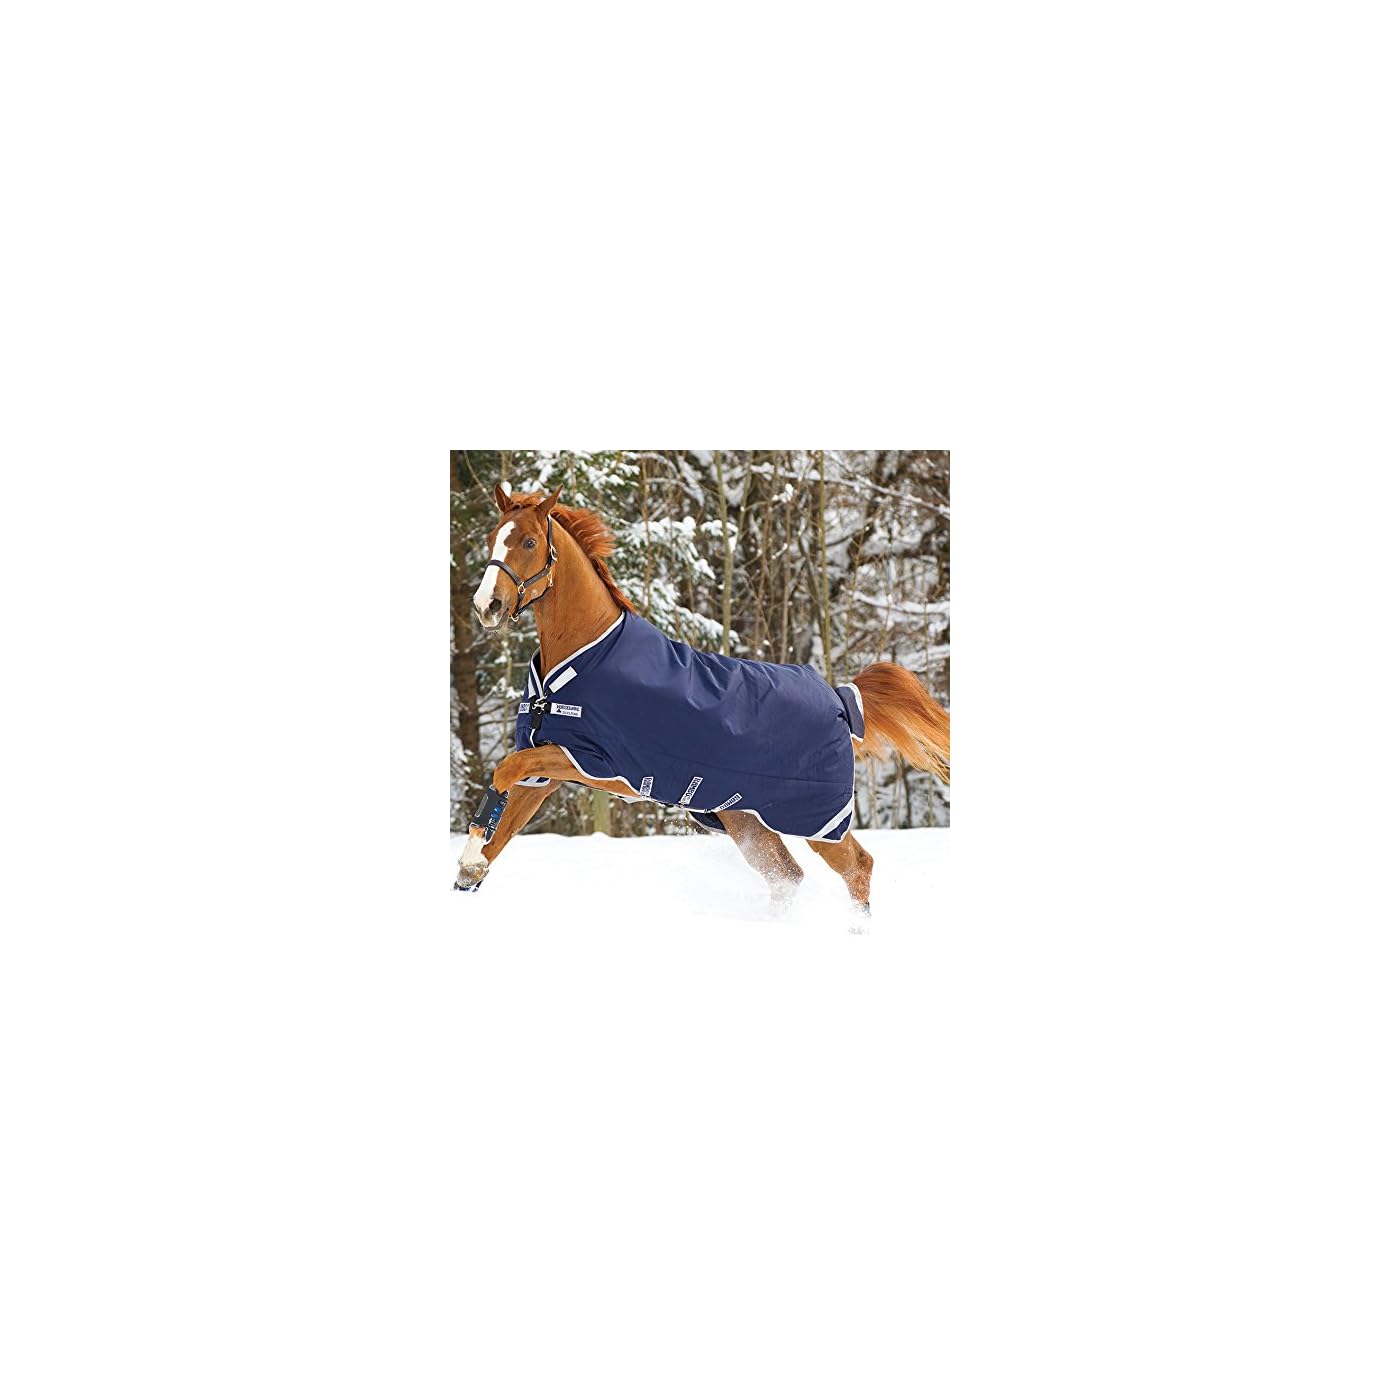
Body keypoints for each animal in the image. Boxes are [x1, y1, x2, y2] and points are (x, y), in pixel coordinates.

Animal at [454, 482, 950, 925]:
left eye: (529, 541)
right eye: (493, 537)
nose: (487, 605)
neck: (583, 657)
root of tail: (840, 697)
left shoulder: (591, 761)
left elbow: (502, 772)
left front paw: (469, 861)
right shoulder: (544, 772)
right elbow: (503, 824)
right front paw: (470, 871)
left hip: (817, 819)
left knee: (857, 868)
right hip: (744, 819)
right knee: (787, 877)